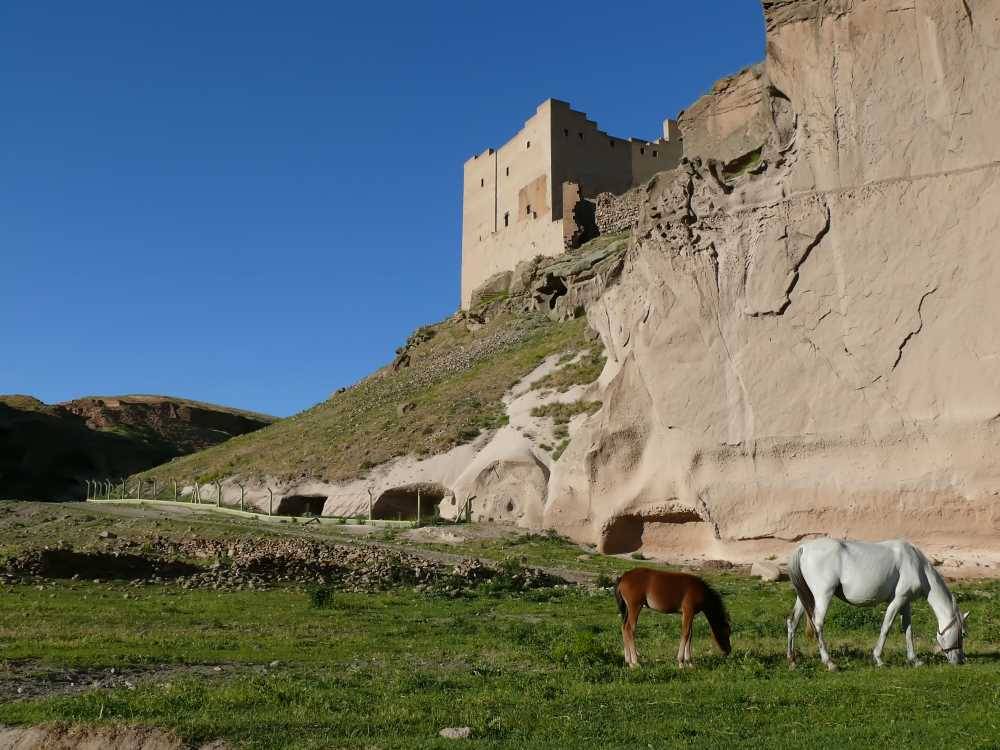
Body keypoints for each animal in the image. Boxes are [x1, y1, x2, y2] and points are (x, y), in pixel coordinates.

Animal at [788, 540, 968, 668]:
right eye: (963, 633)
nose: (960, 660)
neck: (916, 565)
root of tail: (804, 547)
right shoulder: (897, 600)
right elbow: (886, 627)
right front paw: (878, 659)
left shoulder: (905, 603)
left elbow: (908, 630)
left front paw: (914, 660)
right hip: (823, 596)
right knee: (818, 623)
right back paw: (829, 662)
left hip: (803, 596)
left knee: (792, 622)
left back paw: (792, 660)